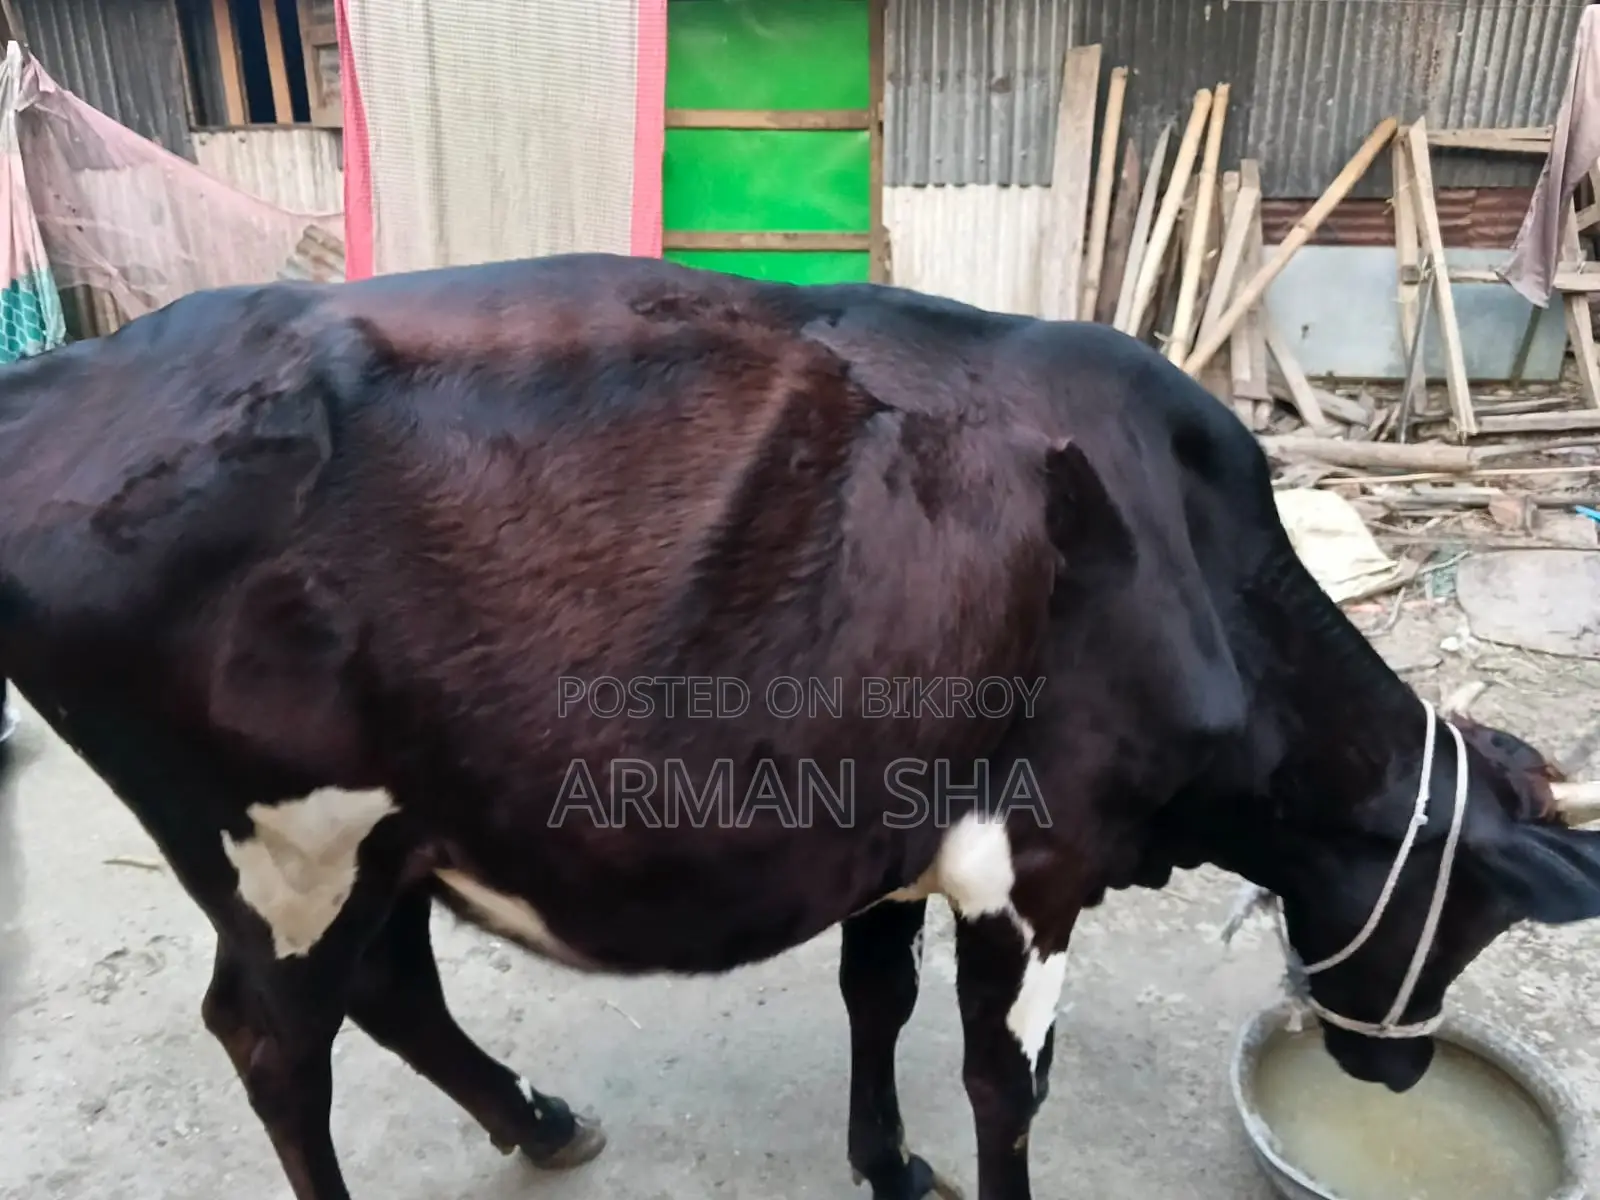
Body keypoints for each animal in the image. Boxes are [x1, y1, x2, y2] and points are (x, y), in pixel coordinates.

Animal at [0, 252, 1597, 1200]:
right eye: (1468, 920)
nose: (1399, 1069)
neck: (1186, 554)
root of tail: (73, 373)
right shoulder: (1043, 856)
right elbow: (1008, 1078)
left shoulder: (891, 821)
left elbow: (874, 999)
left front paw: (886, 1167)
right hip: (280, 843)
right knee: (276, 1043)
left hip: (376, 829)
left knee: (389, 993)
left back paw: (543, 1123)